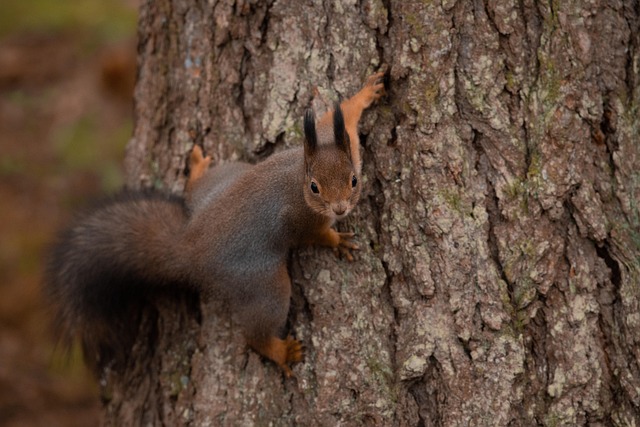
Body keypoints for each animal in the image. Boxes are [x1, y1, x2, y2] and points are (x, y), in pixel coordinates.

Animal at [46, 71, 386, 377]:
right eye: (315, 188)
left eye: (353, 180)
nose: (340, 208)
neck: (299, 174)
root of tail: (189, 246)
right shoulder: (299, 219)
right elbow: (312, 235)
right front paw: (337, 240)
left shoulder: (340, 144)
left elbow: (340, 122)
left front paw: (364, 95)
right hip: (262, 283)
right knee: (255, 332)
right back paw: (279, 351)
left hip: (225, 175)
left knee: (194, 188)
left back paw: (196, 169)